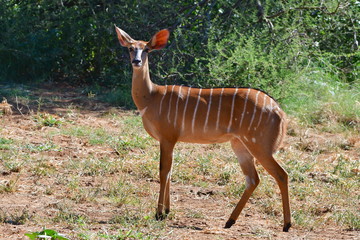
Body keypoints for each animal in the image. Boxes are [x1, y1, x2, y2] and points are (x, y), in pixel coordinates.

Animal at [116, 25, 292, 232]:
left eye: (147, 49)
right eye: (130, 48)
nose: (136, 61)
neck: (151, 97)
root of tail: (280, 112)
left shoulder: (168, 136)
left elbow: (163, 171)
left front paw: (159, 213)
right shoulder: (170, 140)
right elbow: (170, 171)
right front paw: (167, 211)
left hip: (260, 145)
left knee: (281, 174)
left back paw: (287, 225)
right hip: (239, 144)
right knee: (253, 179)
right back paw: (229, 221)